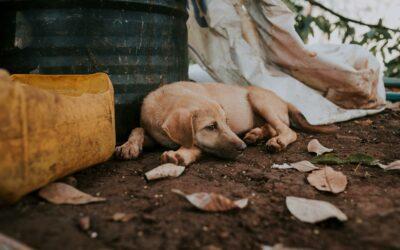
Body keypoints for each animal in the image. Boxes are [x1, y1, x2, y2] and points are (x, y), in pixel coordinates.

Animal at [115, 81, 338, 165]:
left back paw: (276, 141)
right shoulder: (154, 133)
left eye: (226, 122)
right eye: (211, 127)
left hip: (259, 98)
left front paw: (180, 154)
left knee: (288, 130)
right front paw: (128, 146)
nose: (242, 148)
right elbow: (137, 128)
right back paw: (256, 134)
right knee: (273, 126)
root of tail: (283, 100)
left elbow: (194, 145)